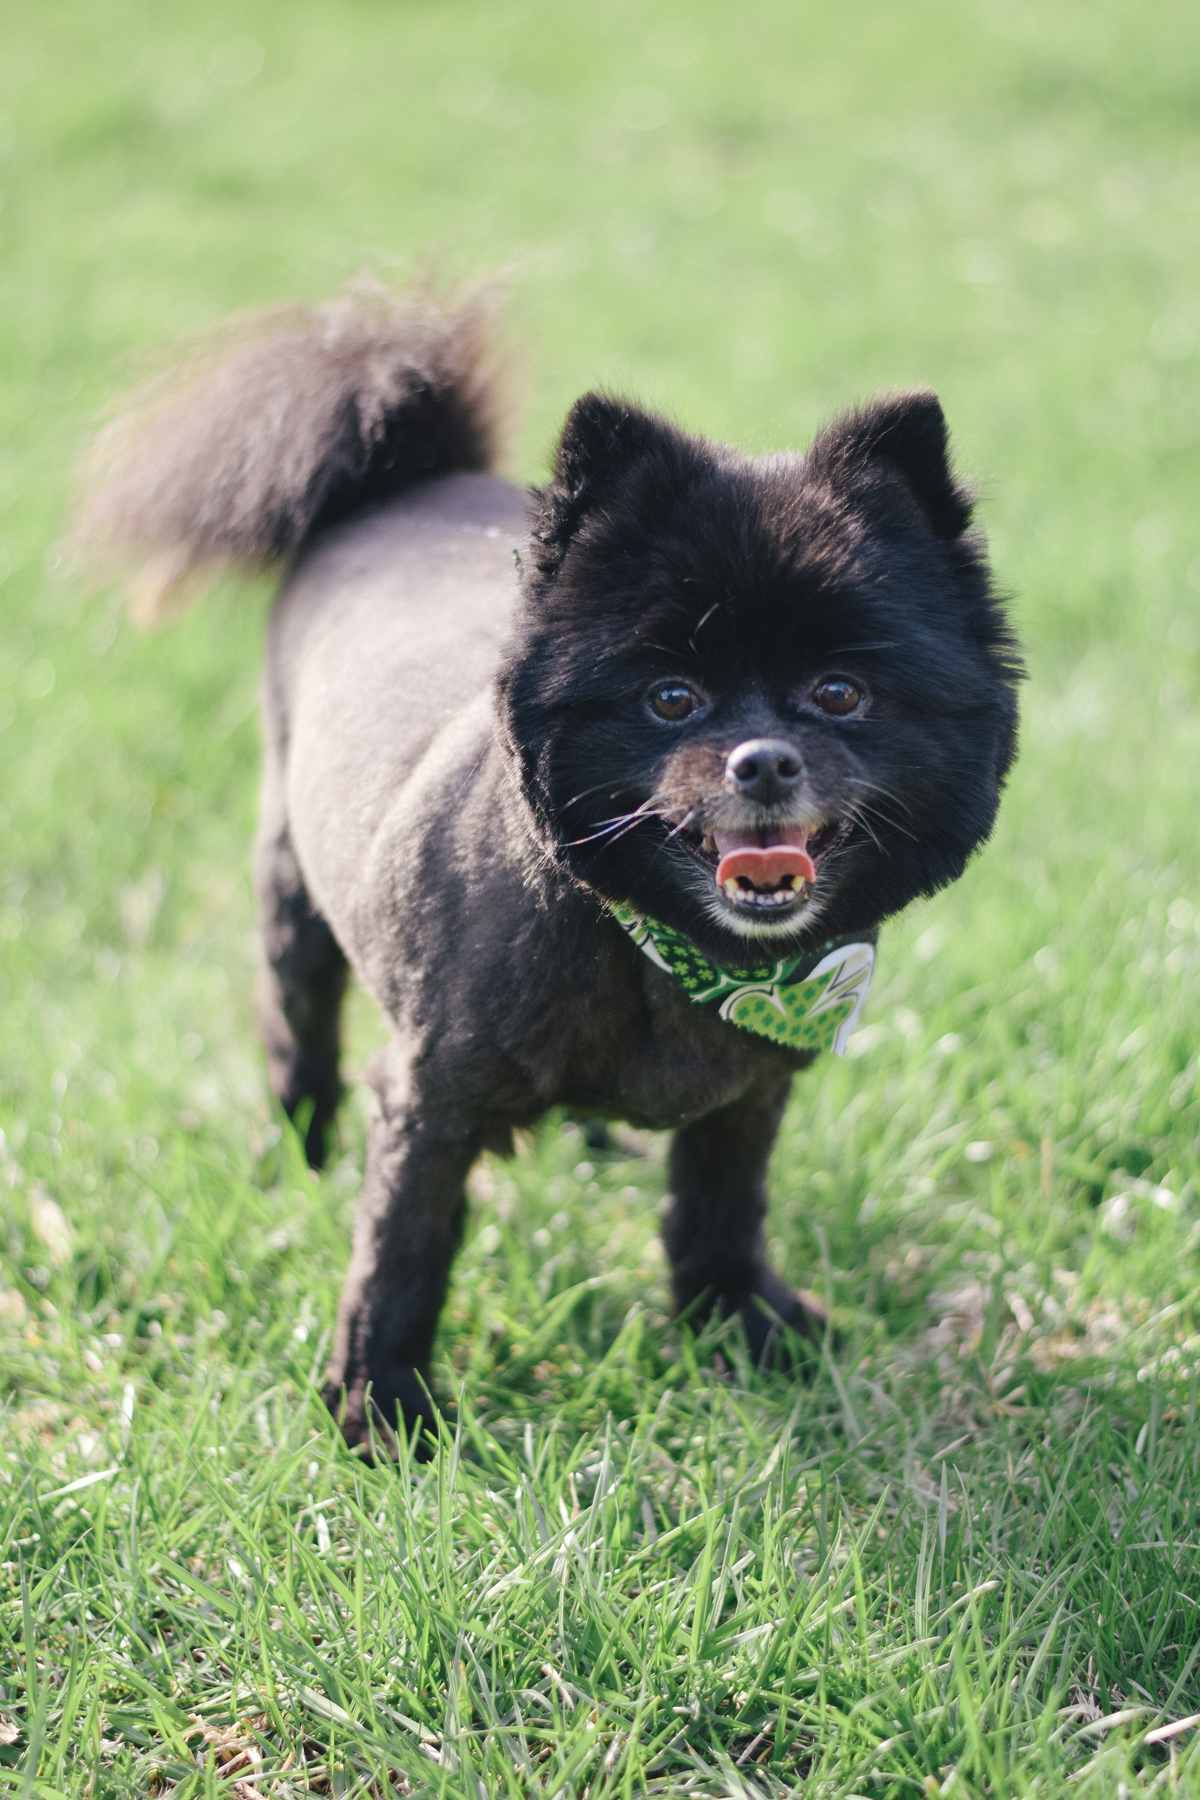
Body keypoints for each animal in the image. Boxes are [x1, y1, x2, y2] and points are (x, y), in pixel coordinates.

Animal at [79, 288, 1021, 1454]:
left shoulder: (750, 1091)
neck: (676, 955)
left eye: (841, 694)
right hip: (289, 892)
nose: (763, 760)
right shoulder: (430, 1098)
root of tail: (409, 477)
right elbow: (402, 1252)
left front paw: (741, 1324)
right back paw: (295, 1157)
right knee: (299, 1036)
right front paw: (379, 1407)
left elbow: (720, 1209)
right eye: (671, 699)